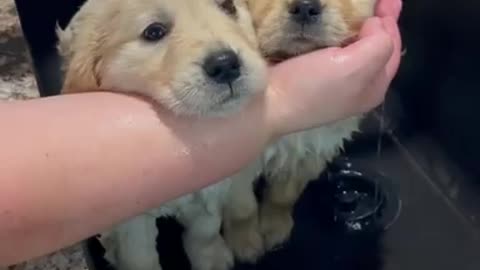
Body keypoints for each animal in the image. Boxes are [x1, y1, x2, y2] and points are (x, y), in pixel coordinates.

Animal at [56, 0, 268, 270]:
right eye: (154, 31)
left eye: (228, 6)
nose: (225, 64)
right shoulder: (132, 222)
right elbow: (139, 257)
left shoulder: (211, 191)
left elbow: (205, 231)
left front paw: (210, 257)